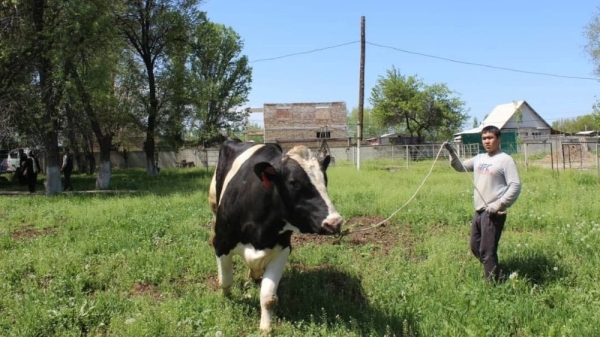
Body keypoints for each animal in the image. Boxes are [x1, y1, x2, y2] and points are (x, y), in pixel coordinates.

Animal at [209, 139, 342, 330]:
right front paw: (226, 301)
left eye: (325, 180)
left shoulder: (282, 249)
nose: (334, 222)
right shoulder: (221, 243)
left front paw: (265, 328)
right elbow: (226, 281)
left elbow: (268, 298)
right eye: (294, 182)